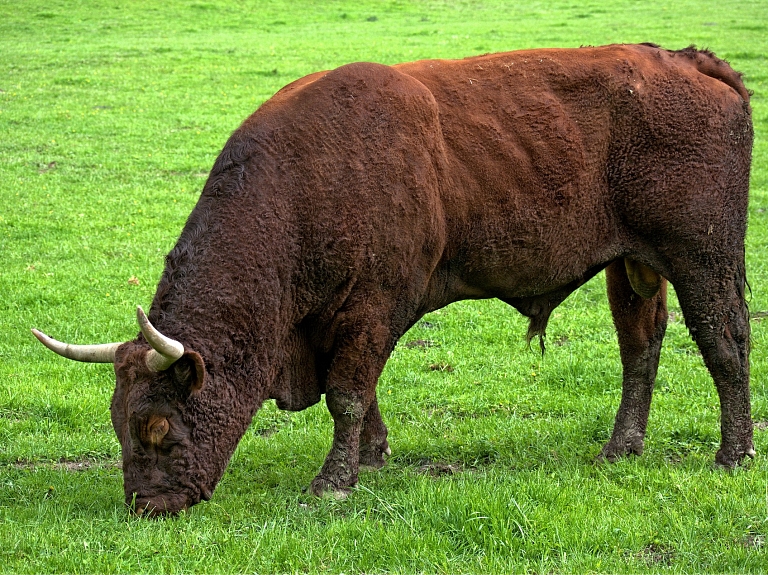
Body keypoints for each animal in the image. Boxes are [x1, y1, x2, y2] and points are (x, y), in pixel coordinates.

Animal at [33, 42, 752, 516]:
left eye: (159, 427)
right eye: (118, 424)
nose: (145, 504)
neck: (304, 182)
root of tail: (688, 61)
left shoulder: (371, 307)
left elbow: (348, 394)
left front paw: (334, 480)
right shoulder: (343, 323)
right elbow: (360, 391)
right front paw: (372, 454)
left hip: (704, 257)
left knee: (725, 344)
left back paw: (734, 453)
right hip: (633, 266)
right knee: (641, 347)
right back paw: (621, 447)